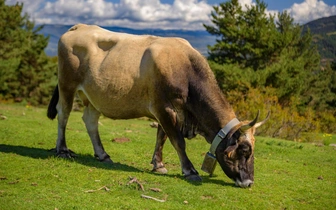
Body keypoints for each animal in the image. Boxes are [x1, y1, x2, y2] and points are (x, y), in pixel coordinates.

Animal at [47, 23, 270, 188]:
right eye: (244, 151)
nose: (249, 182)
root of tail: (78, 27)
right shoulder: (163, 108)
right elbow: (177, 141)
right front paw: (189, 170)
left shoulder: (168, 111)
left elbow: (161, 137)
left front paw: (159, 164)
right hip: (66, 84)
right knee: (63, 114)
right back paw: (63, 149)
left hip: (94, 95)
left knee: (90, 121)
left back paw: (103, 154)